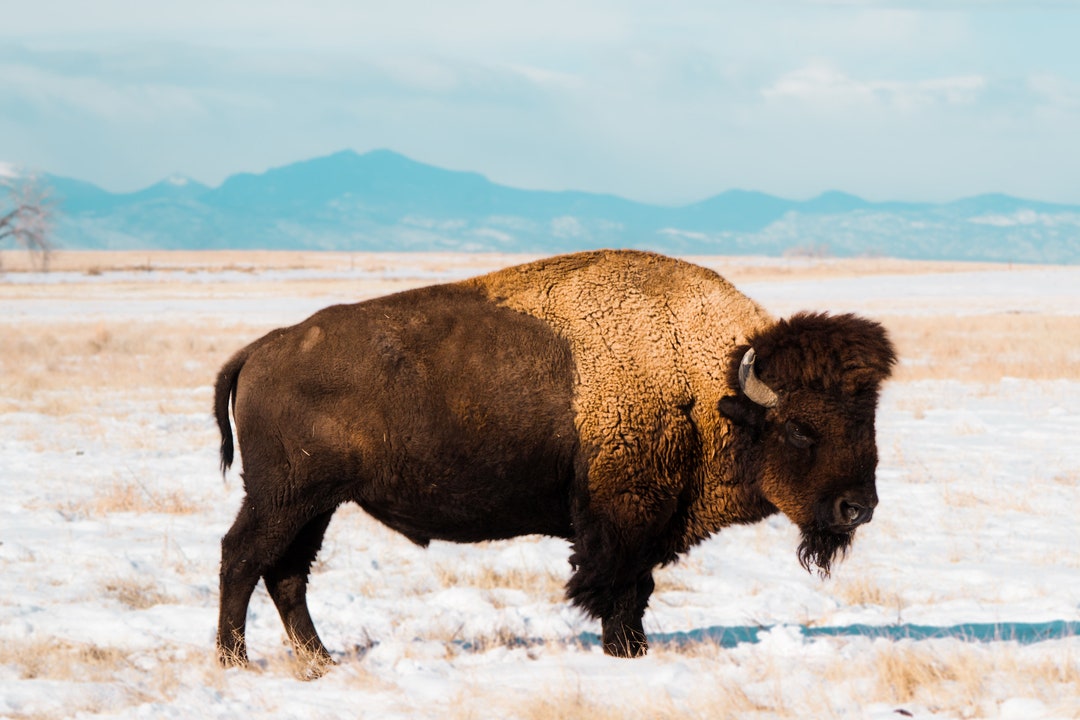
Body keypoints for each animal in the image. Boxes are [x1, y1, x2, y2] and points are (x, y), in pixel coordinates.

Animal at [214, 249, 895, 671]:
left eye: (869, 419)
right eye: (800, 430)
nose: (857, 508)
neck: (709, 383)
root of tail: (261, 349)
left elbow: (636, 590)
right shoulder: (623, 520)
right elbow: (622, 588)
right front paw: (627, 653)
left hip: (316, 504)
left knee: (286, 574)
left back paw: (318, 661)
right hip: (285, 497)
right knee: (243, 559)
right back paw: (235, 661)